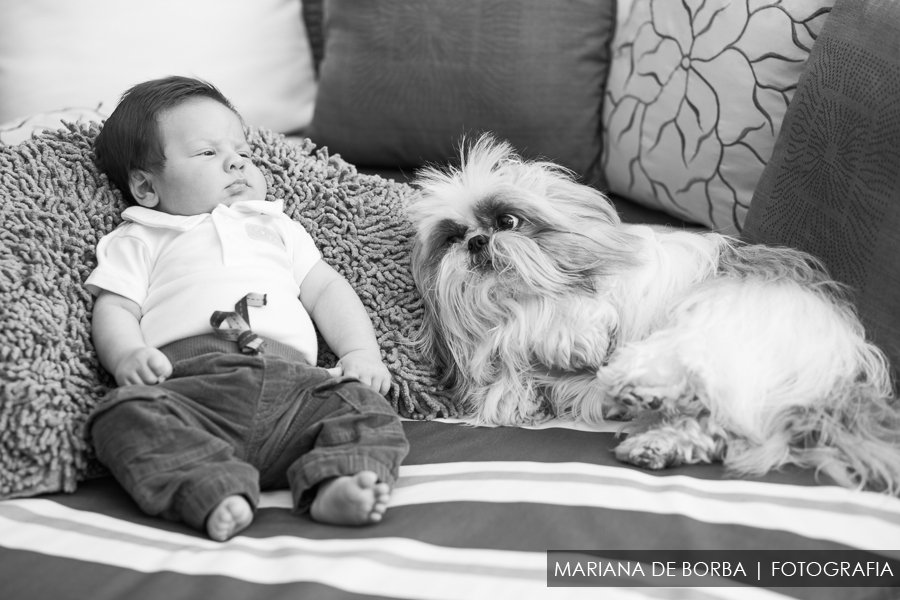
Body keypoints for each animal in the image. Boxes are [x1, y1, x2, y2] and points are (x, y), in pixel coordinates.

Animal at [408, 135, 900, 492]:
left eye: (508, 222)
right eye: (452, 238)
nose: (476, 242)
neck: (513, 306)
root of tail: (841, 366)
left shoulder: (599, 299)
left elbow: (569, 317)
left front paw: (568, 341)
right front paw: (523, 393)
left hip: (716, 324)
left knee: (687, 371)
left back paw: (638, 392)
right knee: (713, 426)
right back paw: (656, 442)